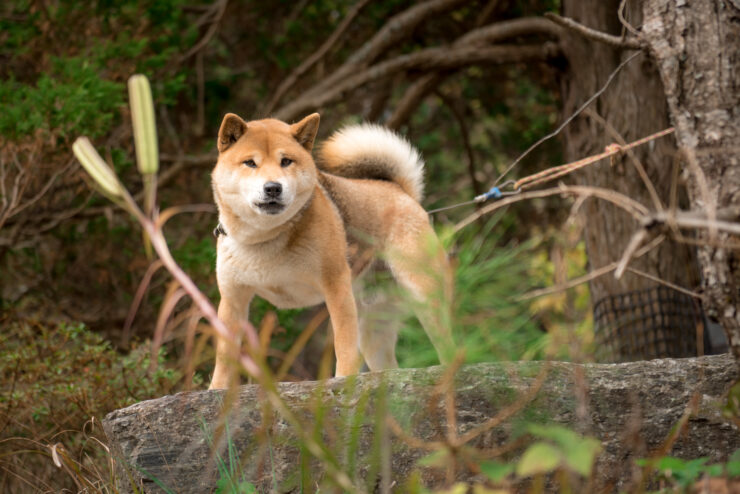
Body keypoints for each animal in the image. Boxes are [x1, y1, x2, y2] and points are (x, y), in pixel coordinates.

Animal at [205, 113, 454, 390]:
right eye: (250, 162)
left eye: (286, 161)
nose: (273, 188)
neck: (264, 238)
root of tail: (401, 191)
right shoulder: (233, 300)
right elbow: (224, 358)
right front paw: (217, 390)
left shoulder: (336, 287)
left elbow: (343, 346)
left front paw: (343, 380)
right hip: (374, 328)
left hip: (425, 298)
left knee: (450, 347)